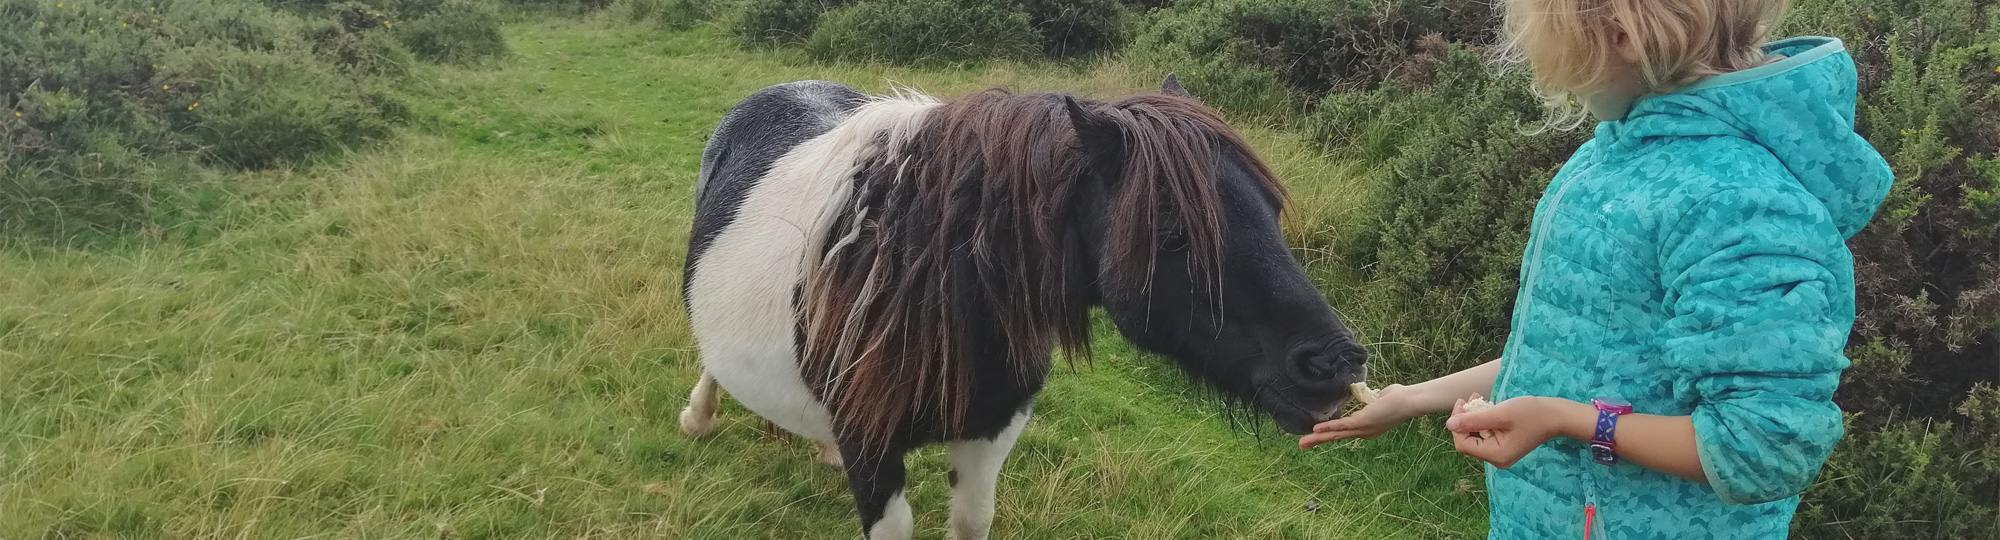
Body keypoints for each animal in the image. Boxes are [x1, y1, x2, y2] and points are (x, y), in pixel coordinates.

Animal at [680, 76, 1368, 540]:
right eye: (1173, 234)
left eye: (1273, 212)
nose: (1336, 363)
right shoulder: (873, 452)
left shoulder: (992, 434)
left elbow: (972, 520)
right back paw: (698, 417)